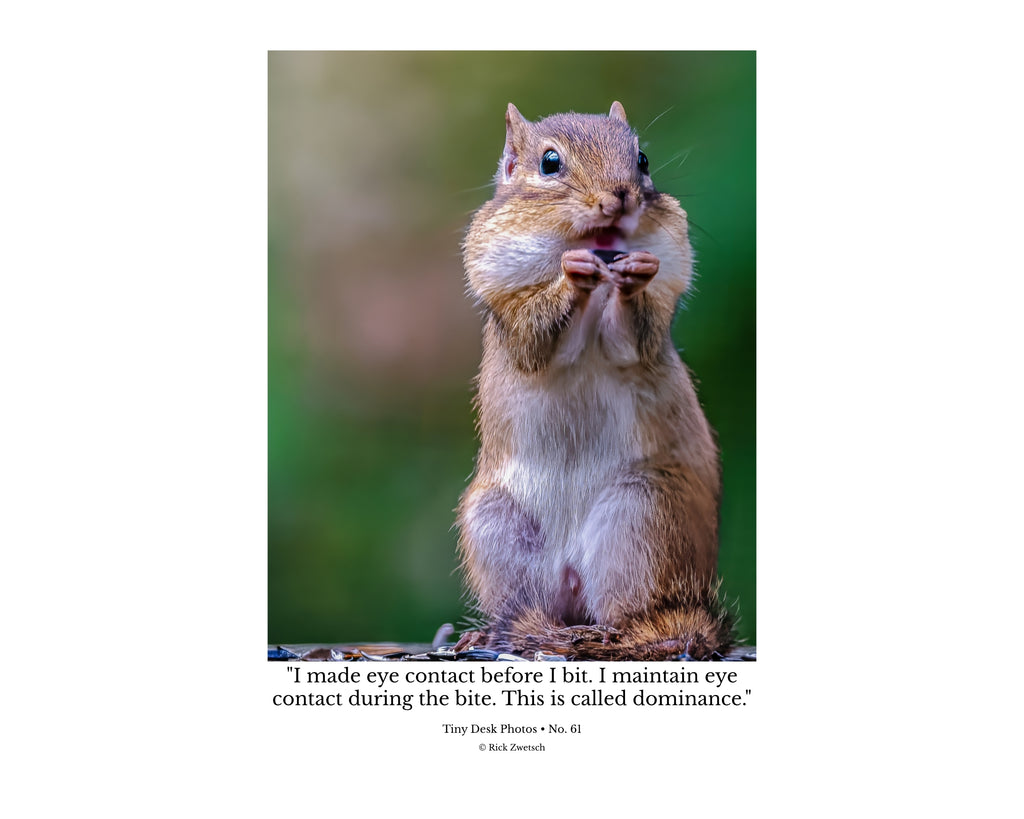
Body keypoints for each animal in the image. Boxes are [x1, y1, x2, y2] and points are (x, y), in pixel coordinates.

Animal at [455, 102, 733, 660]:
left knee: (626, 611)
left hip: (643, 516)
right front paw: (571, 276)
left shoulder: (649, 319)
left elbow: (633, 340)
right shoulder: (510, 307)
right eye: (550, 163)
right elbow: (535, 340)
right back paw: (494, 633)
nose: (620, 195)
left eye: (642, 159)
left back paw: (622, 634)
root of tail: (572, 575)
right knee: (534, 607)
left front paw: (633, 279)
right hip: (498, 528)